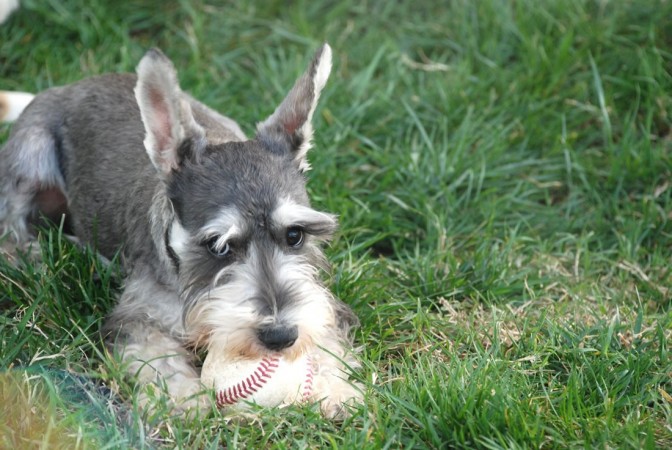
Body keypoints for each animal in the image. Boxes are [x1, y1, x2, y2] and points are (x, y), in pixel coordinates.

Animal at [0, 44, 362, 418]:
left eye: (294, 235)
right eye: (218, 246)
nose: (280, 336)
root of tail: (73, 85)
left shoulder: (320, 303)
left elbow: (325, 334)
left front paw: (333, 388)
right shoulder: (138, 320)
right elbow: (159, 359)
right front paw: (181, 400)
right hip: (29, 153)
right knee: (11, 224)